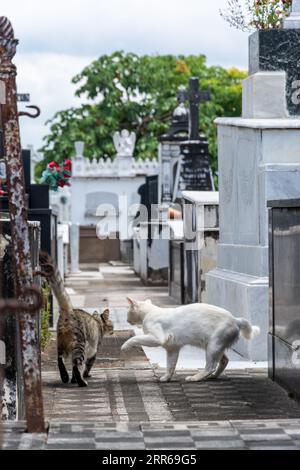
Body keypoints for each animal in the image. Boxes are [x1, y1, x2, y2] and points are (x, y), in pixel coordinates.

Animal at [39, 252, 114, 388]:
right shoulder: (93, 352)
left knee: (61, 360)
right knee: (76, 364)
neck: (97, 322)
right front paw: (85, 375)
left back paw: (65, 377)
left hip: (61, 343)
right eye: (111, 325)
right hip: (79, 345)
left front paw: (72, 379)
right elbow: (87, 366)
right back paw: (82, 382)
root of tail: (69, 310)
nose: (113, 331)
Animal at [121, 300, 260, 384]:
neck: (150, 312)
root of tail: (236, 319)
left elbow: (135, 338)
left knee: (210, 366)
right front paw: (166, 378)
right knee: (224, 360)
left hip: (213, 346)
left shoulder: (157, 338)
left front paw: (124, 346)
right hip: (214, 346)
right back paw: (214, 376)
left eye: (128, 312)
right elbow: (170, 365)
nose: (127, 319)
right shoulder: (172, 348)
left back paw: (195, 377)